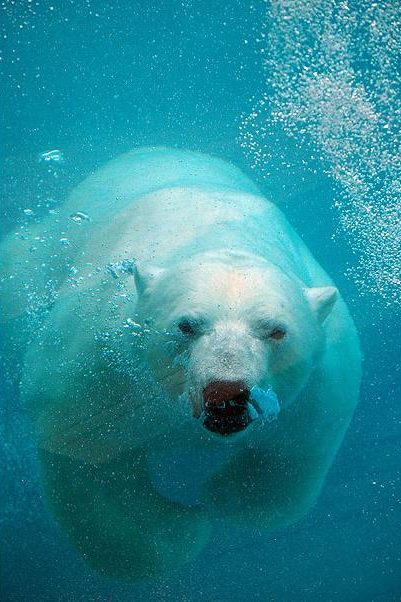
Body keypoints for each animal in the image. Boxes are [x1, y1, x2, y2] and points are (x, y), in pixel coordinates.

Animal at [0, 148, 360, 580]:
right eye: (187, 324)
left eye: (276, 331)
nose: (226, 392)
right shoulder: (97, 361)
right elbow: (82, 454)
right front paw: (186, 528)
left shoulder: (320, 387)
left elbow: (291, 461)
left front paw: (222, 497)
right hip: (52, 245)